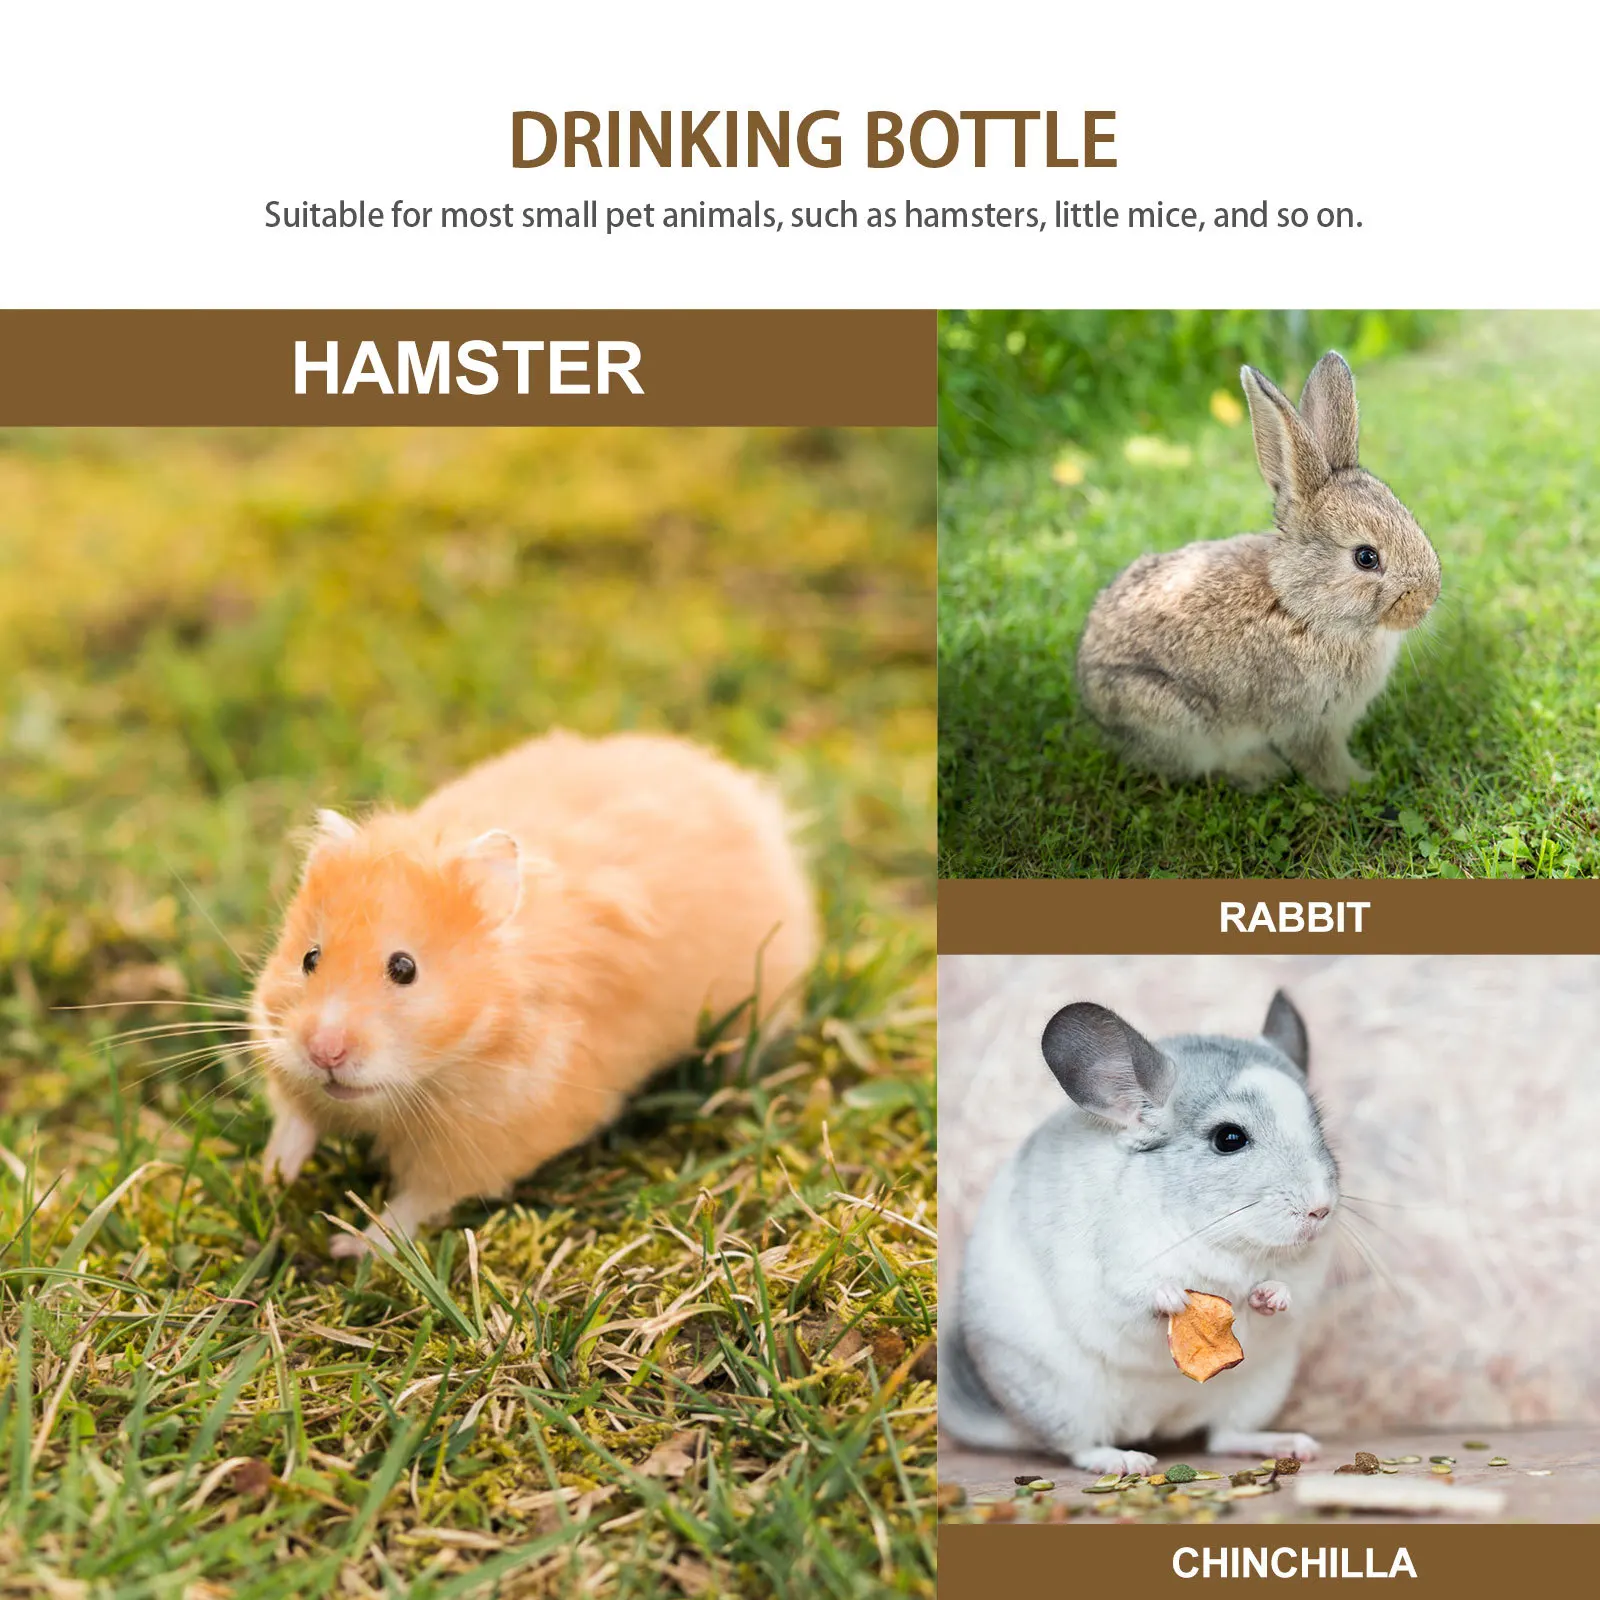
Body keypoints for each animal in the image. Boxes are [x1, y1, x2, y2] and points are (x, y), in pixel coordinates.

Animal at [942, 990, 1339, 1474]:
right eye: (1229, 1138)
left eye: (1319, 1130)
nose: (1321, 1209)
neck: (1220, 1239)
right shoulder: (1113, 1272)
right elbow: (1134, 1298)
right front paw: (1172, 1297)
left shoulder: (1304, 1274)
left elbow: (1287, 1295)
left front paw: (1271, 1296)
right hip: (1059, 1398)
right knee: (1078, 1447)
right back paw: (1125, 1461)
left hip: (1259, 1389)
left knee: (1223, 1437)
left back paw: (1289, 1444)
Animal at [1076, 352, 1441, 792]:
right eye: (1366, 558)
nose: (1427, 600)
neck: (1299, 609)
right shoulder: (1309, 722)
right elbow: (1323, 762)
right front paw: (1361, 783)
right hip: (1172, 718)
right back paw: (1261, 770)